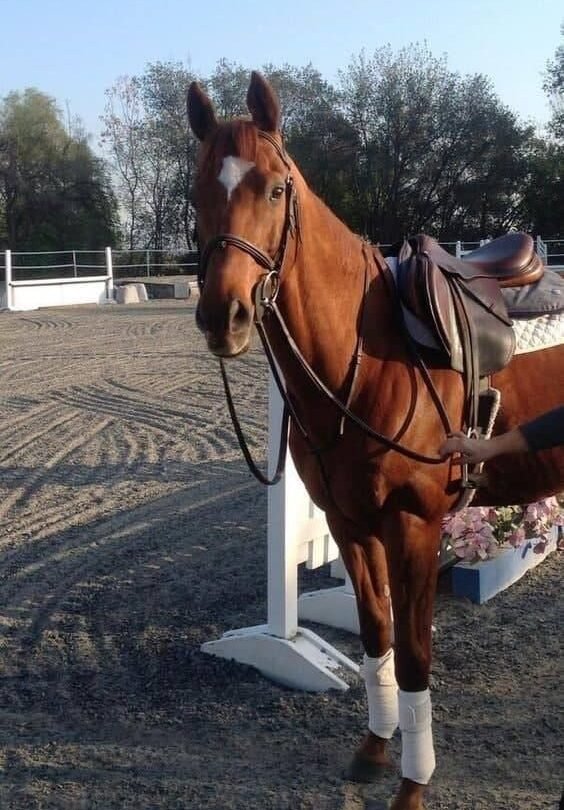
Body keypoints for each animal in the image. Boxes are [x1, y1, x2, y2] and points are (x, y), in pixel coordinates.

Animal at [187, 71, 564, 810]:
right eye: (195, 192)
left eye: (275, 188)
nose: (224, 315)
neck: (370, 357)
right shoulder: (351, 523)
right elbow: (376, 636)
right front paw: (374, 748)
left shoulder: (413, 526)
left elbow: (415, 655)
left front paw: (413, 782)